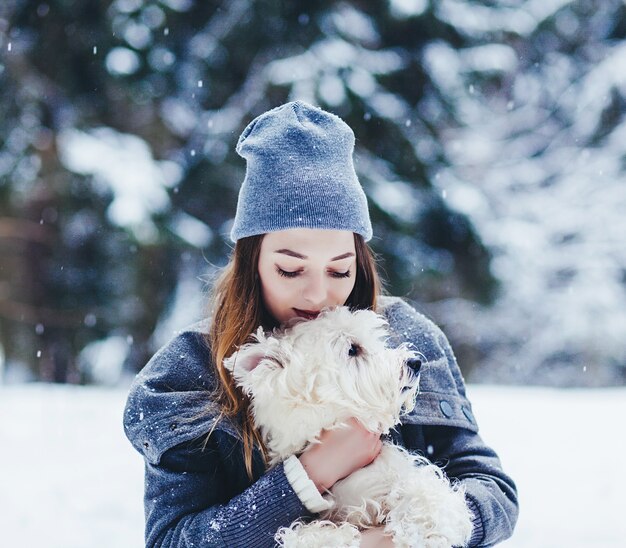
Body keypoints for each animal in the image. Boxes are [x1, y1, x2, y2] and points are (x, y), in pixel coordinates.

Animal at [222, 308, 470, 548]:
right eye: (353, 349)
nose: (415, 362)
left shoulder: (397, 473)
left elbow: (428, 493)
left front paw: (424, 531)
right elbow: (298, 536)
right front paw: (337, 538)